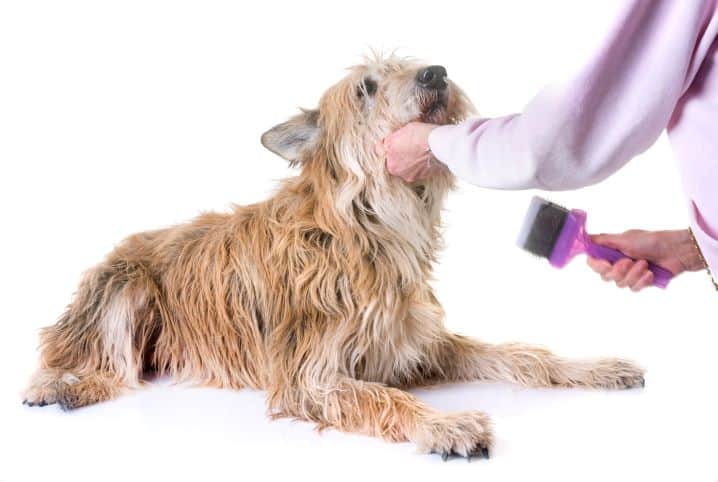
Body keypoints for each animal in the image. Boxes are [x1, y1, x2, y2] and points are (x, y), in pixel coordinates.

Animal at [23, 53, 648, 460]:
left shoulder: (419, 345)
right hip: (122, 284)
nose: (435, 73)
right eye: (365, 88)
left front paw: (592, 368)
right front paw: (445, 423)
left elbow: (522, 355)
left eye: (411, 66)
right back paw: (62, 386)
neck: (369, 227)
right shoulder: (310, 375)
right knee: (91, 360)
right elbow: (384, 397)